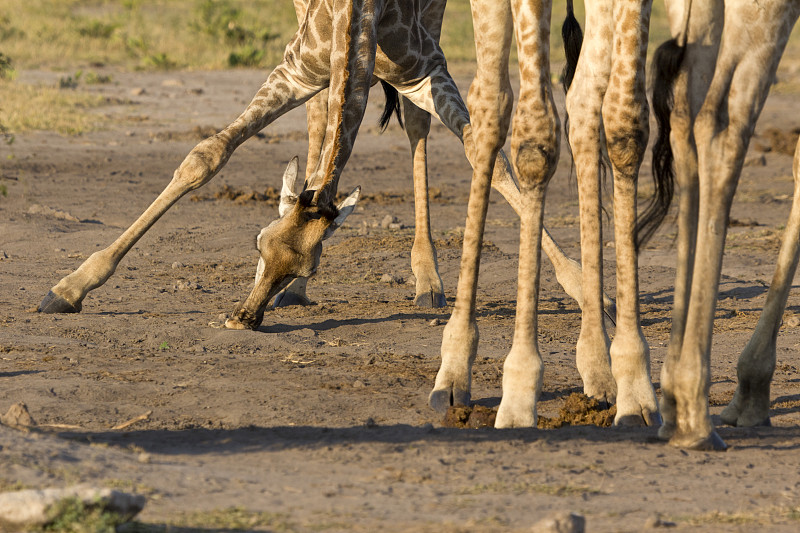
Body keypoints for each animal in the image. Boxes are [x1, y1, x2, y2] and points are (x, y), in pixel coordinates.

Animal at [36, 0, 600, 332]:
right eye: (258, 245)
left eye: (306, 264)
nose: (244, 318)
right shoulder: (296, 67)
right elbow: (207, 155)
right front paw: (70, 287)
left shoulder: (424, 68)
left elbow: (485, 155)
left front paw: (580, 284)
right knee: (318, 122)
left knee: (414, 124)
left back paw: (428, 281)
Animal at [432, 0, 664, 426]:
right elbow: (535, 136)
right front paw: (519, 393)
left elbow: (626, 125)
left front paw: (636, 390)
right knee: (489, 106)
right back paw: (454, 368)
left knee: (583, 97)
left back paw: (599, 368)